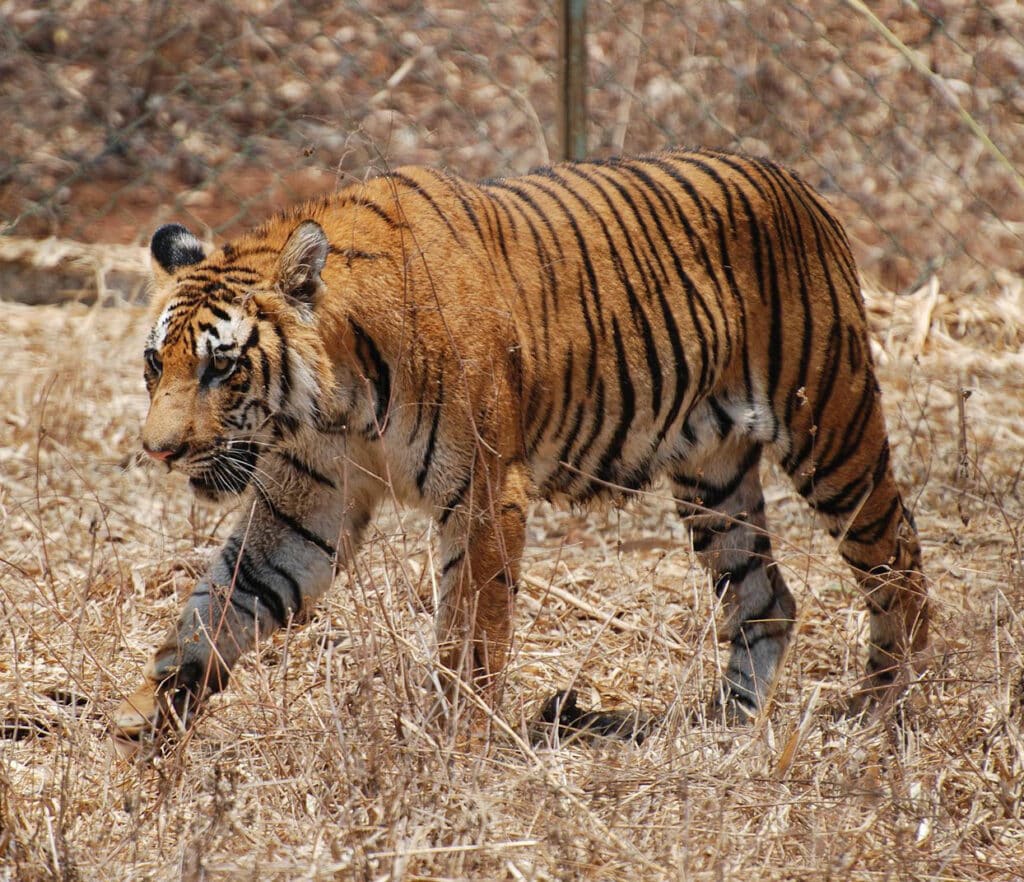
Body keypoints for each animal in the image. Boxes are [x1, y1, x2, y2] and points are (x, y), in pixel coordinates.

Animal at [112, 149, 929, 741]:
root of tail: (797, 185)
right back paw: (725, 725)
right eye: (156, 363)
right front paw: (148, 733)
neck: (334, 402)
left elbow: (472, 634)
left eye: (221, 367)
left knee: (895, 557)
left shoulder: (483, 495)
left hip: (832, 430)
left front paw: (454, 746)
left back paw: (889, 708)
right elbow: (220, 607)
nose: (158, 452)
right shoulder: (303, 506)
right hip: (714, 479)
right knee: (765, 597)